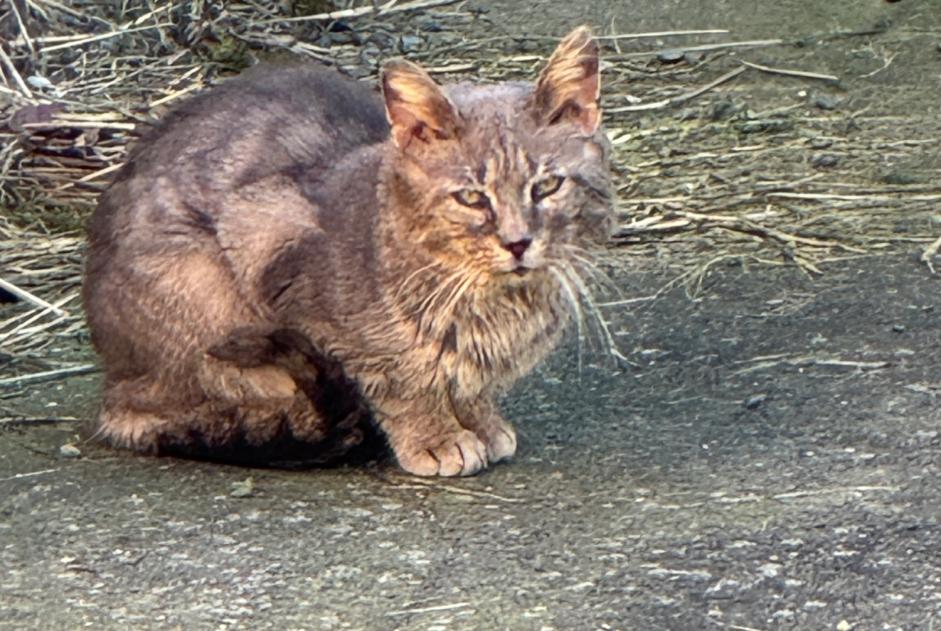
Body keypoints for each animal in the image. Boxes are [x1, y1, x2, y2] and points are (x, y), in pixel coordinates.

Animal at [82, 27, 616, 476]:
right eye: (471, 197)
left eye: (546, 186)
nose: (517, 241)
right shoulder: (272, 245)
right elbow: (396, 378)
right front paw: (436, 435)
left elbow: (465, 381)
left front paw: (479, 419)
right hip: (203, 292)